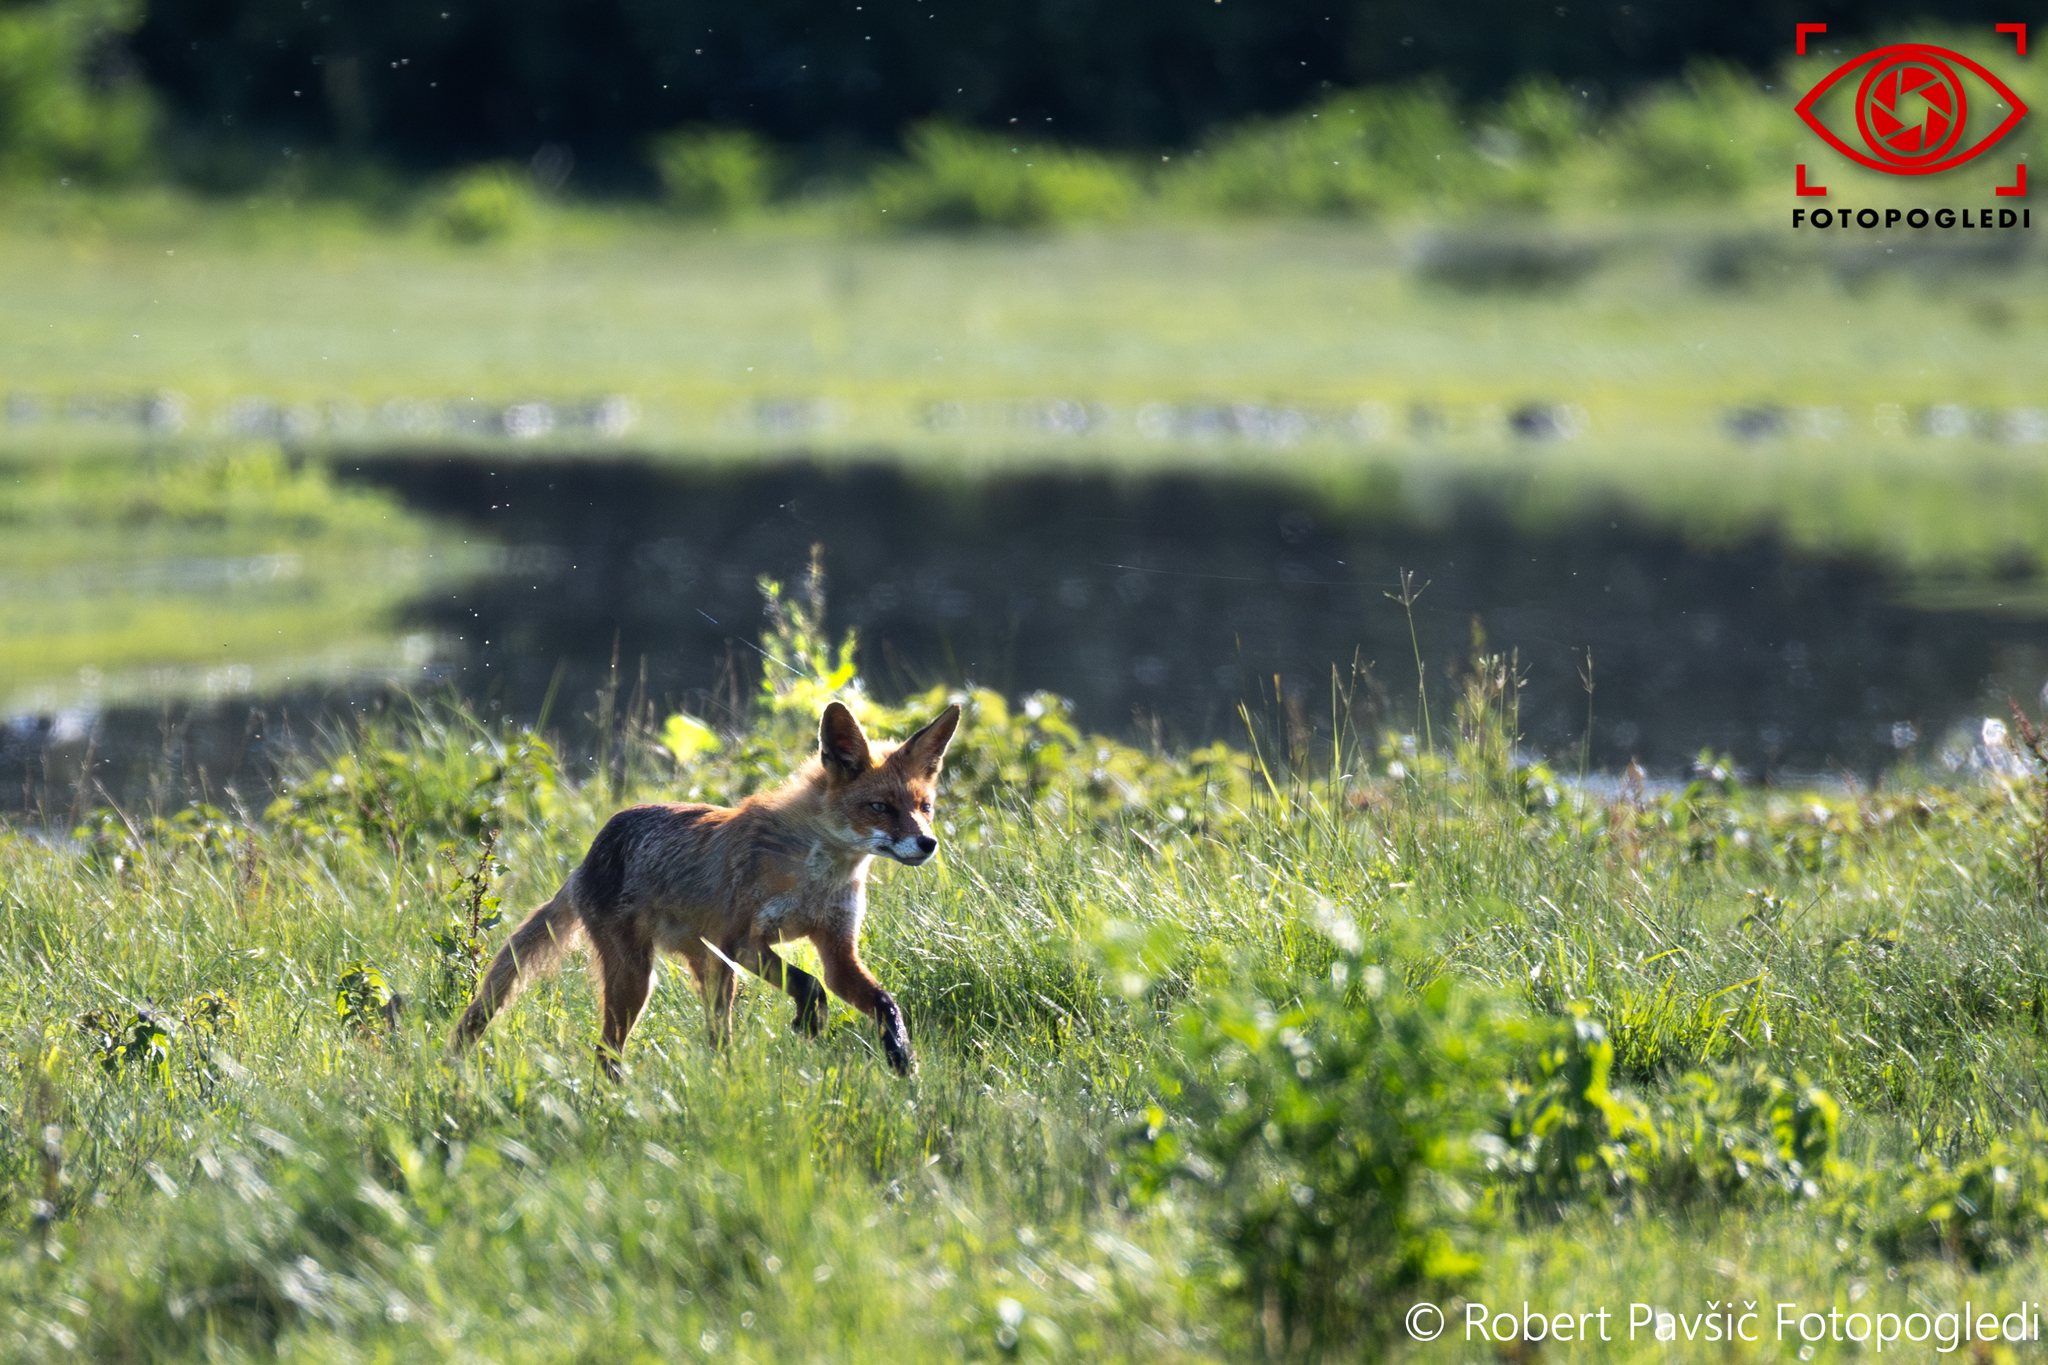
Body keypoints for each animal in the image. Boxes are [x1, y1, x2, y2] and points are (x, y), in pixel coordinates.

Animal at [450, 700, 960, 1078]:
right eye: (880, 807)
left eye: (924, 807)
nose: (927, 843)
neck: (816, 875)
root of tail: (589, 856)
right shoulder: (742, 941)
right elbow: (810, 985)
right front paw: (810, 1021)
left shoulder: (837, 949)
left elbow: (882, 1001)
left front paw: (901, 1057)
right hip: (642, 978)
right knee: (606, 1051)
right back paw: (615, 1103)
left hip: (707, 970)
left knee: (715, 1038)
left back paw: (722, 1078)